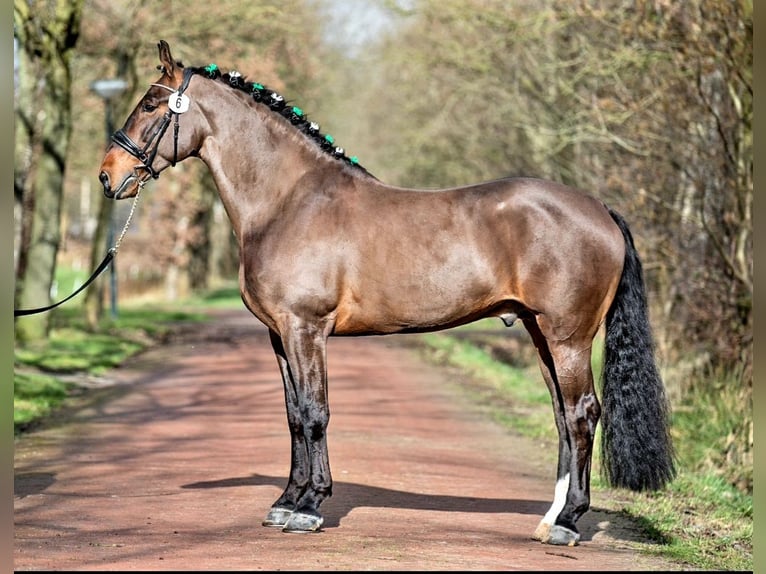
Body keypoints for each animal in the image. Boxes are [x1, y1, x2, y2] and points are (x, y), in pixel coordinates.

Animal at [97, 41, 680, 548]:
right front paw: (285, 502)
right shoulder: (280, 336)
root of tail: (600, 209)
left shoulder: (306, 329)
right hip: (541, 334)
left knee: (582, 413)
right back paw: (550, 518)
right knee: (562, 416)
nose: (108, 175)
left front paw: (310, 507)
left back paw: (568, 522)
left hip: (568, 335)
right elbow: (293, 416)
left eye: (150, 104)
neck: (289, 200)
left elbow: (315, 412)